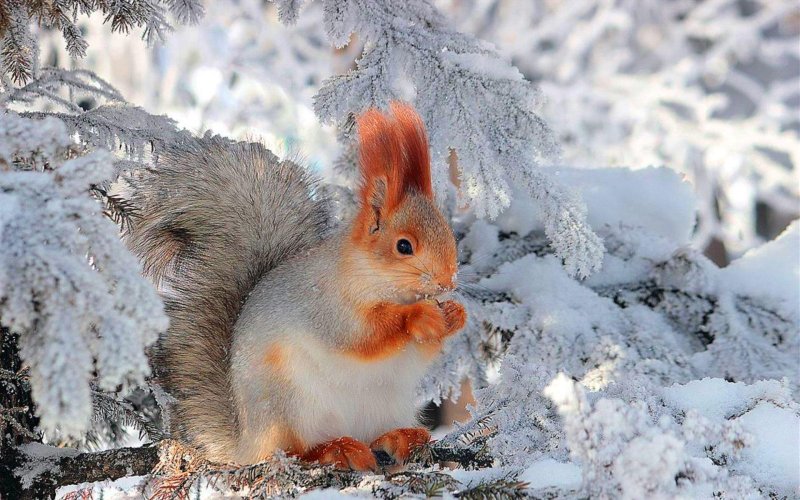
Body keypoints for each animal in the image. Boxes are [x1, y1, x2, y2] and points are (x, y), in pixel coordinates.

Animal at [122, 101, 466, 468]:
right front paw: (419, 316)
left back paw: (402, 437)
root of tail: (246, 442)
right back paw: (336, 449)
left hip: (385, 406)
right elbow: (363, 335)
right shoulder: (327, 305)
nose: (448, 281)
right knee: (292, 450)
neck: (372, 277)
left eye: (448, 231)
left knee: (375, 434)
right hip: (288, 405)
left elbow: (422, 352)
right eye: (404, 246)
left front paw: (455, 315)